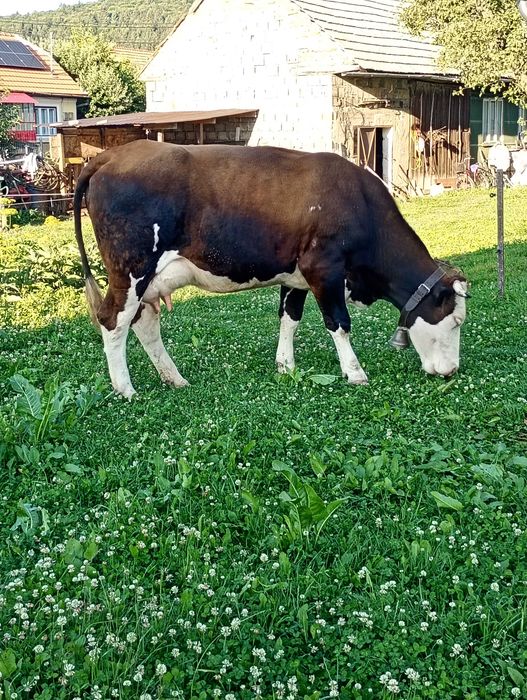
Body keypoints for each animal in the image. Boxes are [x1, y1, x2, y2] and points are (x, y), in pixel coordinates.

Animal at [73, 140, 468, 398]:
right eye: (455, 321)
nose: (452, 371)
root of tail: (112, 154)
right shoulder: (324, 268)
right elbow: (339, 323)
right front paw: (354, 373)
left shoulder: (297, 275)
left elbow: (289, 318)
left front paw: (286, 366)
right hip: (131, 270)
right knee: (113, 320)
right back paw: (126, 389)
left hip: (147, 280)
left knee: (143, 322)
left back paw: (174, 378)